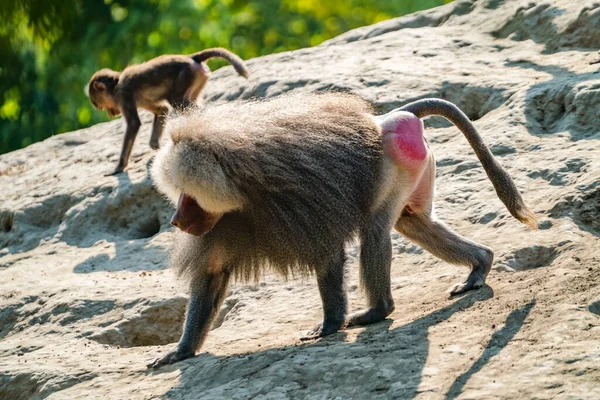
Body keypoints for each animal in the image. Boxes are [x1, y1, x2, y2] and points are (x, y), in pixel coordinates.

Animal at [86, 47, 248, 174]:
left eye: (99, 105)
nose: (111, 113)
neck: (116, 83)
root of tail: (191, 57)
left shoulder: (123, 95)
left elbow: (133, 124)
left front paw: (119, 167)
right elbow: (161, 110)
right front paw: (155, 146)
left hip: (186, 75)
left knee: (177, 101)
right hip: (199, 77)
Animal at [148, 92, 536, 368]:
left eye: (188, 195)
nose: (175, 221)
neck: (240, 185)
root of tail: (392, 116)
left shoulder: (300, 199)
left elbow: (329, 253)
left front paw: (329, 325)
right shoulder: (225, 221)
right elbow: (212, 272)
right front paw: (181, 351)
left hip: (398, 162)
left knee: (376, 231)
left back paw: (377, 310)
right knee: (414, 223)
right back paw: (479, 265)